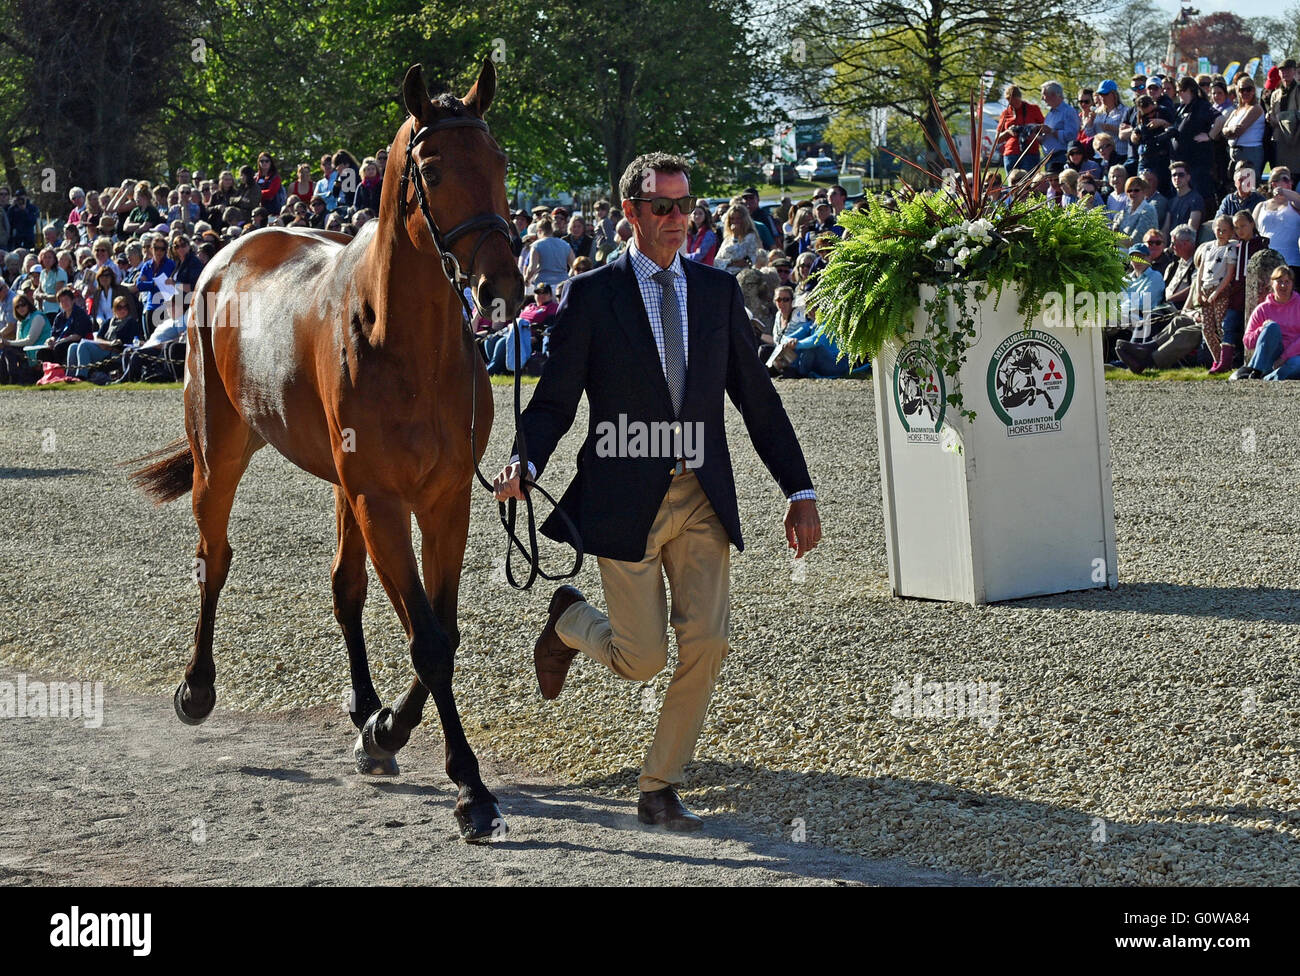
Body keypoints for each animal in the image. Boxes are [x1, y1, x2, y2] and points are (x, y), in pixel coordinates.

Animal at [128, 61, 522, 842]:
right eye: (433, 167)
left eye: (499, 162)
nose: (503, 285)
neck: (407, 343)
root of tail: (226, 252)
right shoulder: (381, 498)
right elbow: (427, 638)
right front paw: (469, 789)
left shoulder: (444, 498)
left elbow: (440, 628)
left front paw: (385, 729)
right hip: (221, 452)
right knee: (214, 558)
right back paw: (197, 687)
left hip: (344, 487)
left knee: (346, 587)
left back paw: (366, 709)